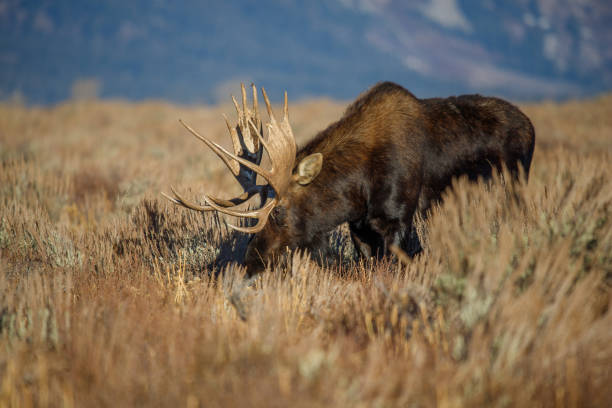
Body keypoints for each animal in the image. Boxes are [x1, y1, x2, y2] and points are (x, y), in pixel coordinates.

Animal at [164, 81, 536, 276]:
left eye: (279, 211)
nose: (252, 261)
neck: (358, 188)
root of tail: (530, 125)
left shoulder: (398, 219)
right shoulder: (359, 226)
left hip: (515, 185)